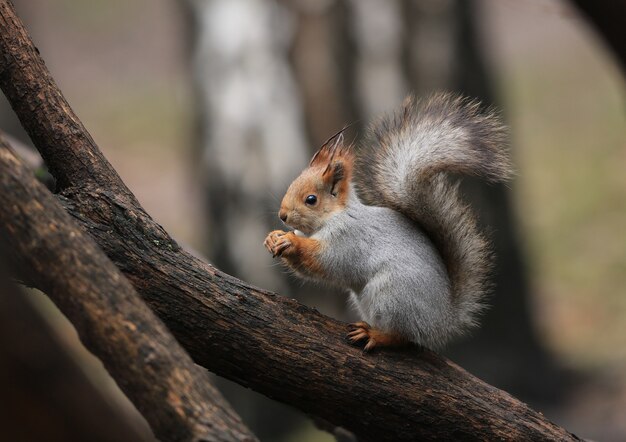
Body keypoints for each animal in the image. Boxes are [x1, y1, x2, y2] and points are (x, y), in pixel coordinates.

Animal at [260, 91, 510, 350]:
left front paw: (292, 242)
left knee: (402, 336)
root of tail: (441, 322)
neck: (331, 219)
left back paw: (375, 335)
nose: (282, 215)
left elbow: (327, 261)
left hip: (391, 296)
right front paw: (274, 237)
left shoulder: (349, 239)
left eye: (311, 200)